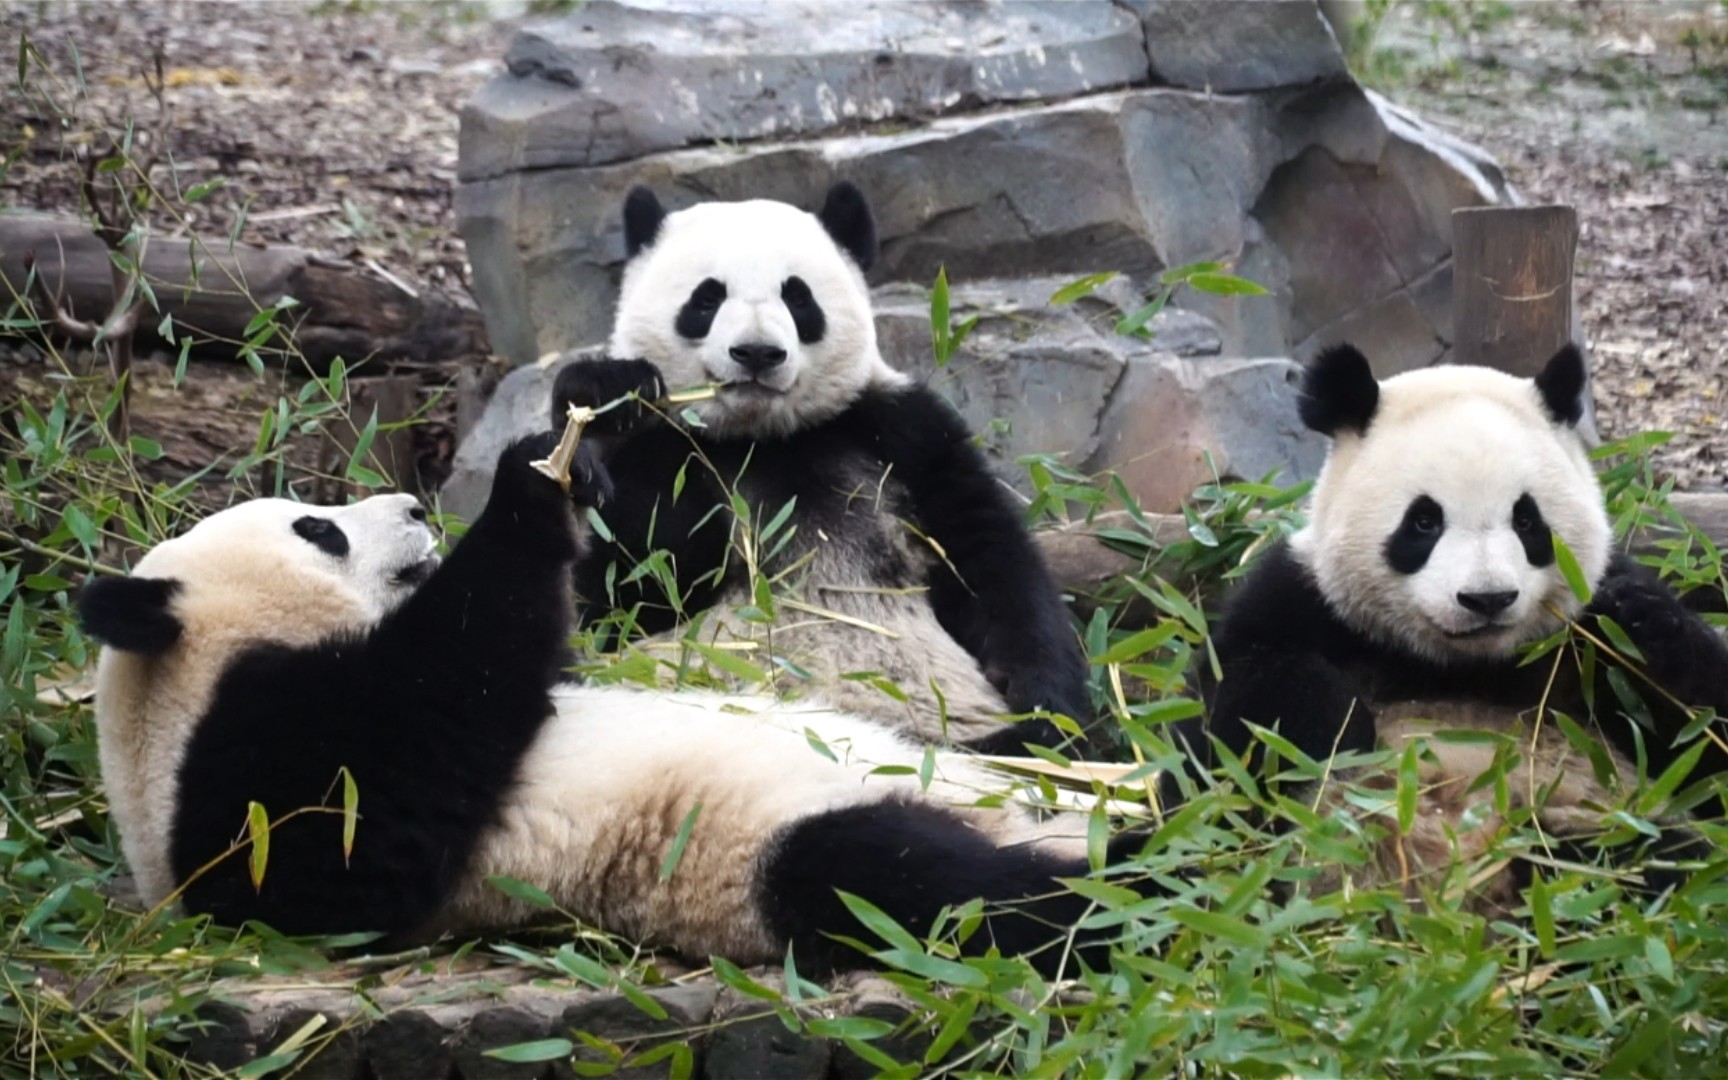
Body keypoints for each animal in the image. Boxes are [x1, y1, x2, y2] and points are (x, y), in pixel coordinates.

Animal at [77, 432, 1147, 974]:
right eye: (318, 529)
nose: (418, 506)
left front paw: (573, 462)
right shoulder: (245, 784)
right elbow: (369, 824)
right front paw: (533, 489)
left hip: (1000, 766)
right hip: (769, 848)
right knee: (938, 884)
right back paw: (1148, 877)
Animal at [546, 181, 1085, 753]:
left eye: (797, 296)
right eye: (707, 297)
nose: (757, 353)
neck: (764, 437)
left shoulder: (897, 434)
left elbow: (989, 559)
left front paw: (1046, 706)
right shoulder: (673, 453)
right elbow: (624, 580)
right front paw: (601, 399)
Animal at [1181, 340, 1728, 905]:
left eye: (1527, 520)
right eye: (1424, 521)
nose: (1487, 599)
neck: (1460, 664)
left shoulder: (1581, 638)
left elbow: (1703, 742)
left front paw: (1643, 619)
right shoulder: (1302, 601)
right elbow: (1225, 730)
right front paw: (1338, 724)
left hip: (1593, 822)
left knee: (1657, 863)